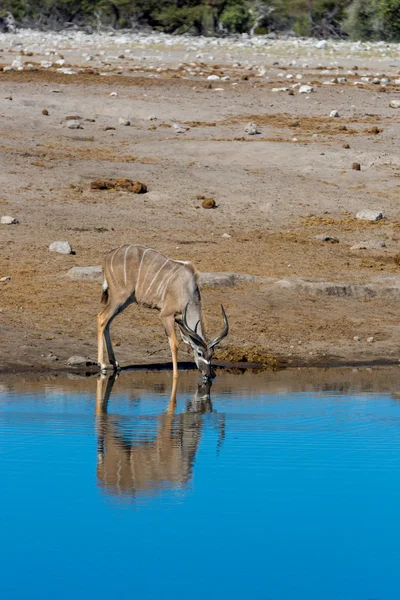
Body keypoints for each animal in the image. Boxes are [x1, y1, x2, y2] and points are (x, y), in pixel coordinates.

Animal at [97, 245, 228, 378]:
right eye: (199, 353)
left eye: (212, 355)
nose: (209, 374)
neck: (186, 288)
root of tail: (107, 256)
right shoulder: (166, 315)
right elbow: (174, 344)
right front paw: (175, 375)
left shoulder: (179, 319)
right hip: (119, 297)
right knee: (102, 317)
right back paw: (102, 365)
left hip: (126, 300)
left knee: (107, 322)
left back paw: (114, 363)